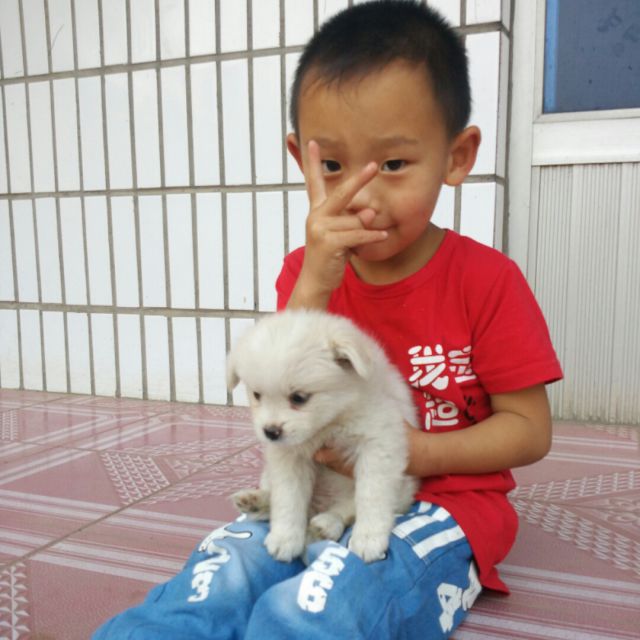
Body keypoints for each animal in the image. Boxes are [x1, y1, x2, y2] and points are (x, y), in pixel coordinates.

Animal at [226, 309, 418, 563]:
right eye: (257, 395)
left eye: (299, 398)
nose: (270, 432)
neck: (331, 421)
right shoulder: (288, 457)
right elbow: (288, 498)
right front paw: (285, 538)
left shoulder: (379, 443)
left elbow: (371, 495)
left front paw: (368, 538)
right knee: (276, 497)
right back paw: (256, 501)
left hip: (401, 490)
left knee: (345, 509)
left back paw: (326, 524)